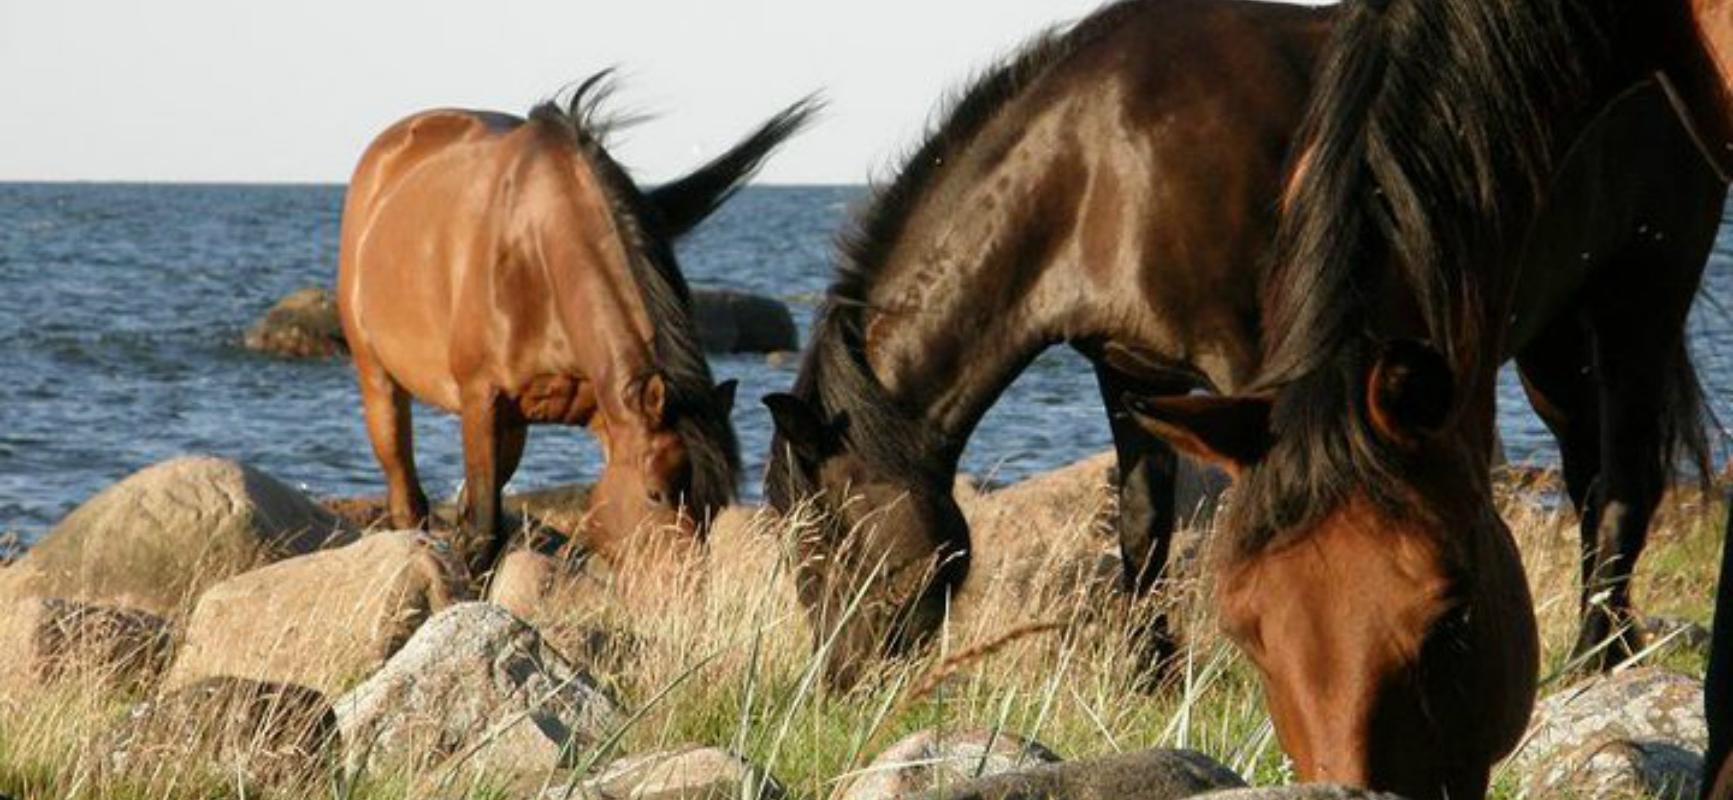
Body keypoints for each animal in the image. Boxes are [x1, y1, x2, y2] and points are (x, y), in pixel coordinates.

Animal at [343, 74, 817, 571]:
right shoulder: (481, 401)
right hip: (378, 379)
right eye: (655, 493)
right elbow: (484, 529)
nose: (688, 583)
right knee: (406, 497)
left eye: (717, 501)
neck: (536, 253)